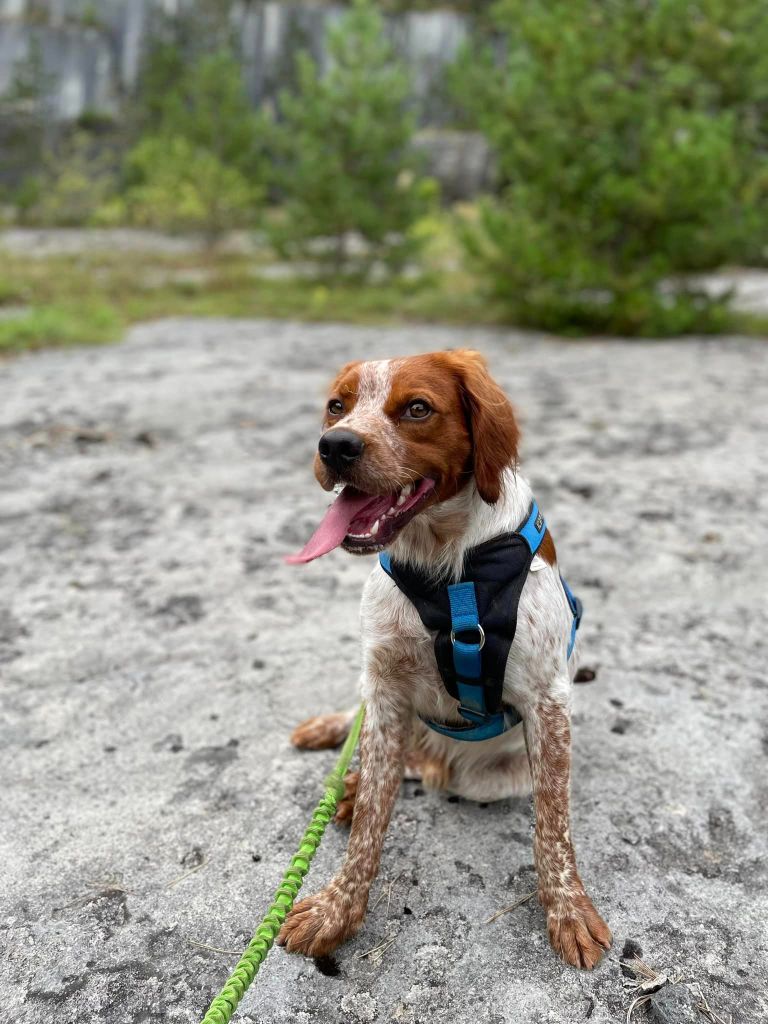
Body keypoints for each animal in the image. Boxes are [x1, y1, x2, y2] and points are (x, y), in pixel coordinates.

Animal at [278, 354, 614, 974]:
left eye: (417, 408)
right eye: (337, 405)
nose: (335, 445)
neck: (446, 566)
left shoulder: (547, 702)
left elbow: (552, 828)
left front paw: (570, 910)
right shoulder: (385, 690)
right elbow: (372, 820)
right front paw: (337, 910)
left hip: (487, 778)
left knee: (438, 770)